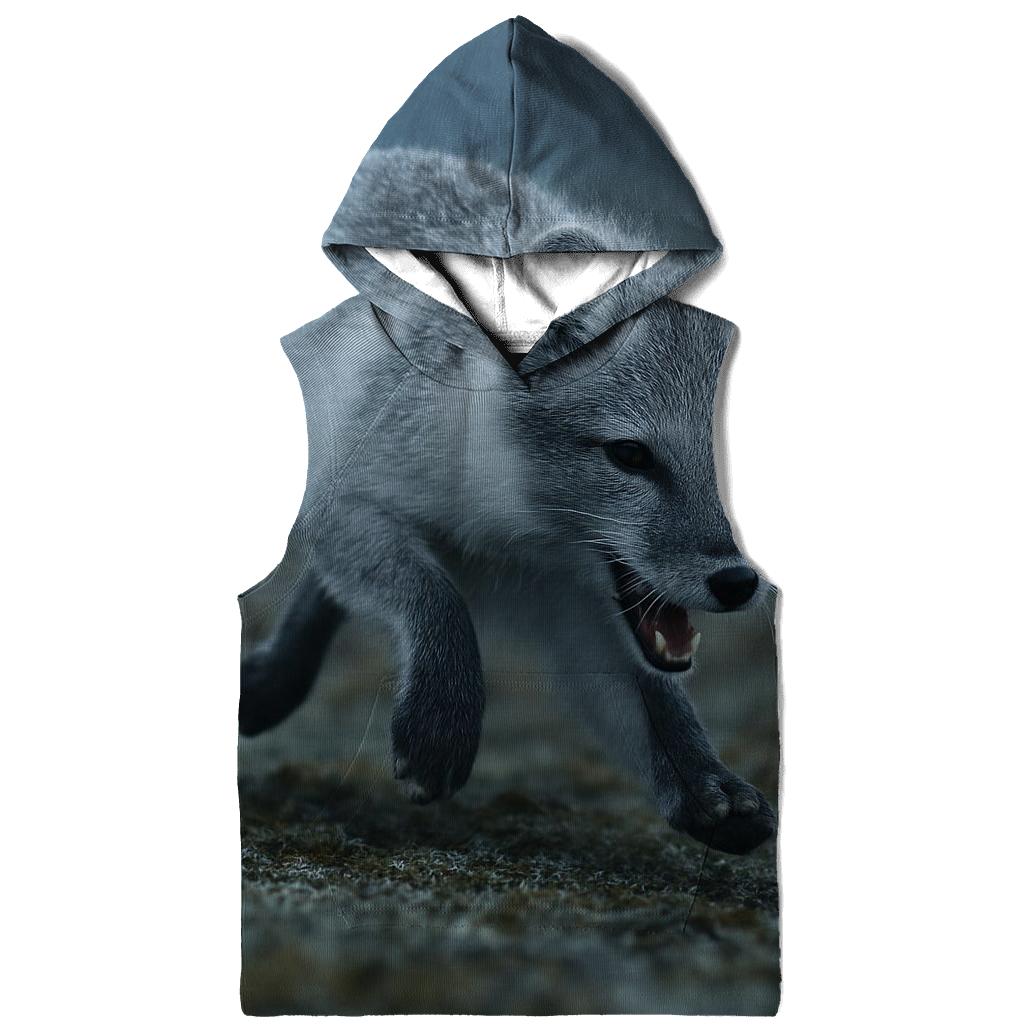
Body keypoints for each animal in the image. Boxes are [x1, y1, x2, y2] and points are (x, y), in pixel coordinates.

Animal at [239, 295, 777, 856]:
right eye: (629, 454)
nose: (738, 582)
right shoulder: (350, 502)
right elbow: (433, 594)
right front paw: (440, 722)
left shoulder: (573, 607)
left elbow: (655, 704)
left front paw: (705, 784)